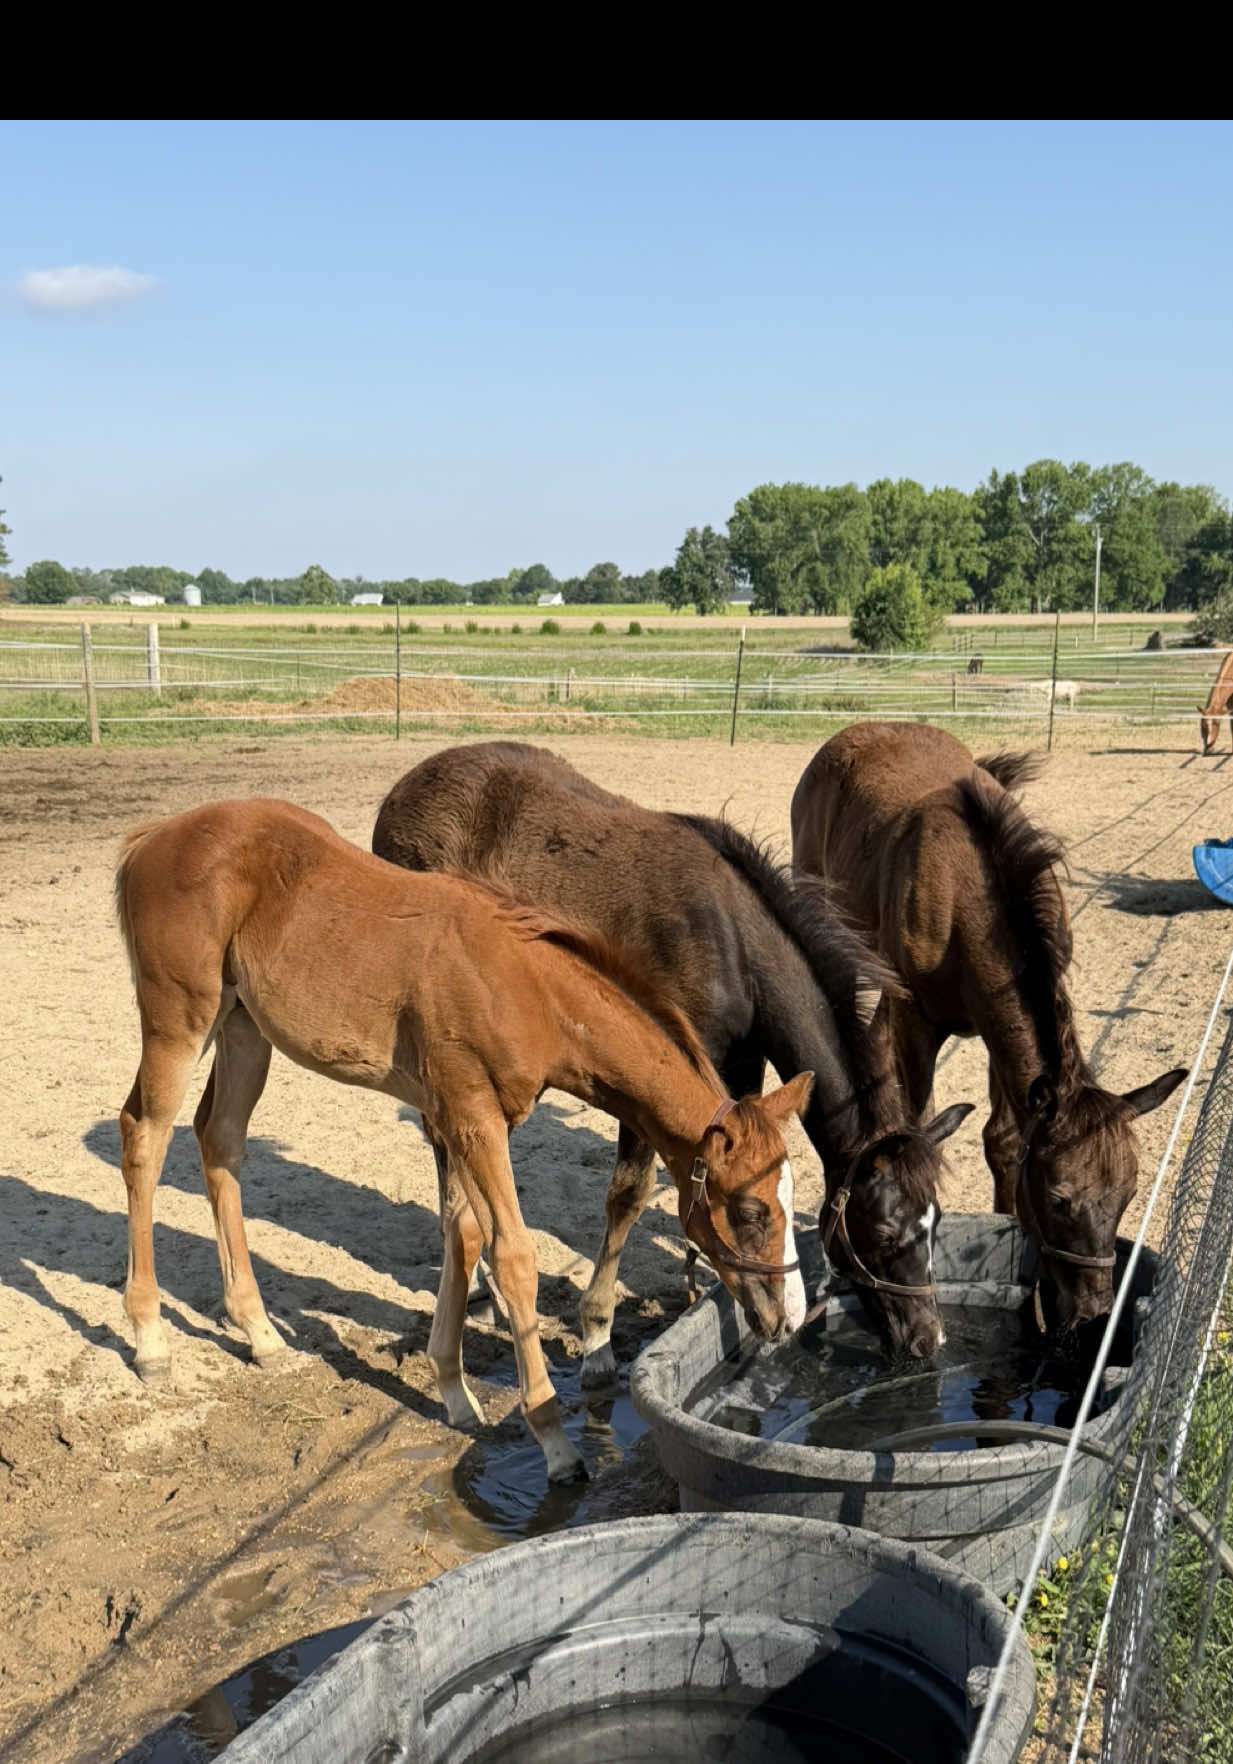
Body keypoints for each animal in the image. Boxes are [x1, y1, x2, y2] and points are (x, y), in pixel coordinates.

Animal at [114, 798, 813, 1484]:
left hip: (244, 1027)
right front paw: (554, 1441)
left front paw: (453, 1389)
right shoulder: (473, 1117)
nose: (787, 1319)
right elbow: (513, 1256)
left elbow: (464, 1231)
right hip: (180, 1019)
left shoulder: (463, 1118)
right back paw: (150, 1340)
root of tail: (154, 837)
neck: (532, 992)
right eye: (750, 1211)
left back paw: (258, 1331)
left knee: (220, 1140)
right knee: (144, 1137)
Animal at [372, 743, 973, 1368]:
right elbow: (629, 1194)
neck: (730, 946)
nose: (928, 1339)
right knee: (444, 1146)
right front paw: (597, 1334)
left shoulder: (737, 1073)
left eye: (936, 1222)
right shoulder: (644, 1068)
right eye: (883, 1233)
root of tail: (406, 788)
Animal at [790, 724, 1187, 1331]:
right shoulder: (917, 1022)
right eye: (1059, 1199)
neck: (966, 898)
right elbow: (920, 1124)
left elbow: (1002, 1139)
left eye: (1129, 1192)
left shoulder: (997, 1028)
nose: (1093, 1310)